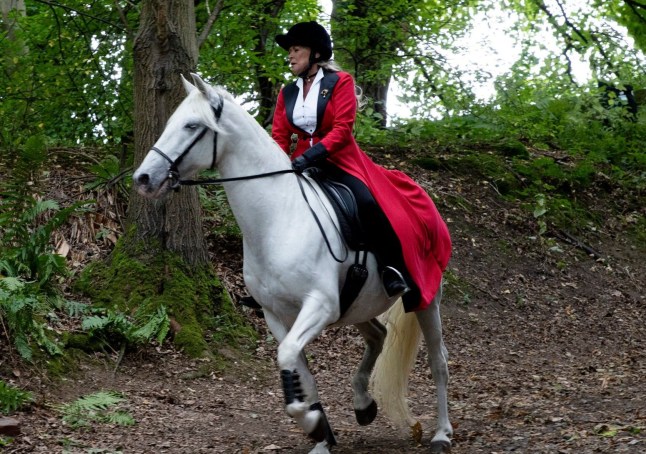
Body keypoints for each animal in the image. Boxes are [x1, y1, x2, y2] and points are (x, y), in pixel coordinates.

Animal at [132, 73, 452, 454]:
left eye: (192, 125)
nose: (143, 179)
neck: (277, 218)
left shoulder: (319, 306)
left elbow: (287, 359)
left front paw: (310, 421)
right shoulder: (277, 314)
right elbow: (300, 371)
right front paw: (320, 435)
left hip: (426, 297)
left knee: (438, 362)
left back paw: (442, 433)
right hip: (357, 304)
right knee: (378, 335)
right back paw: (363, 404)